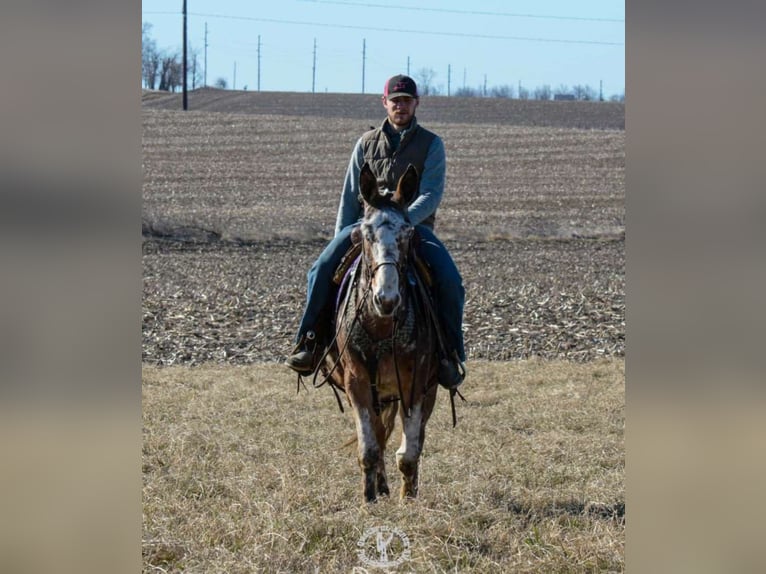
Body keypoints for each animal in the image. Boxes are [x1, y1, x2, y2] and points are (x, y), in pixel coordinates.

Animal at [316, 163, 438, 504]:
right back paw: (381, 486)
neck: (382, 327)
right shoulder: (356, 383)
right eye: (364, 234)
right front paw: (369, 497)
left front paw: (408, 498)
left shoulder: (417, 385)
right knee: (381, 435)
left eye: (408, 233)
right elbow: (370, 447)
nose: (386, 299)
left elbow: (409, 452)